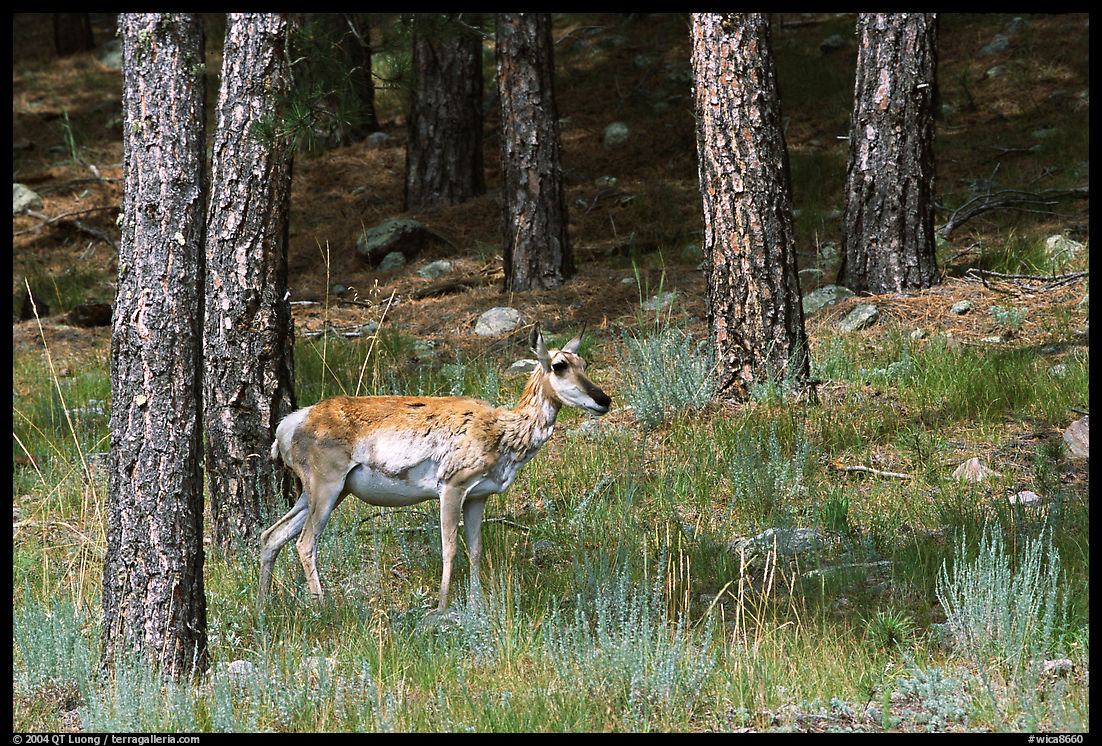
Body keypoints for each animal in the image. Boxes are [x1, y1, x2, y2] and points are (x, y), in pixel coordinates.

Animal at [259, 323, 611, 612]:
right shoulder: (452, 485)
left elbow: (475, 549)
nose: (604, 399)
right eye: (559, 365)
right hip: (326, 484)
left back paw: (265, 607)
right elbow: (449, 548)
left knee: (272, 534)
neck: (503, 435)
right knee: (305, 542)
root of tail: (287, 426)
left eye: (585, 364)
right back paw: (323, 608)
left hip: (326, 490)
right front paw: (442, 607)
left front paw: (477, 604)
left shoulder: (478, 496)